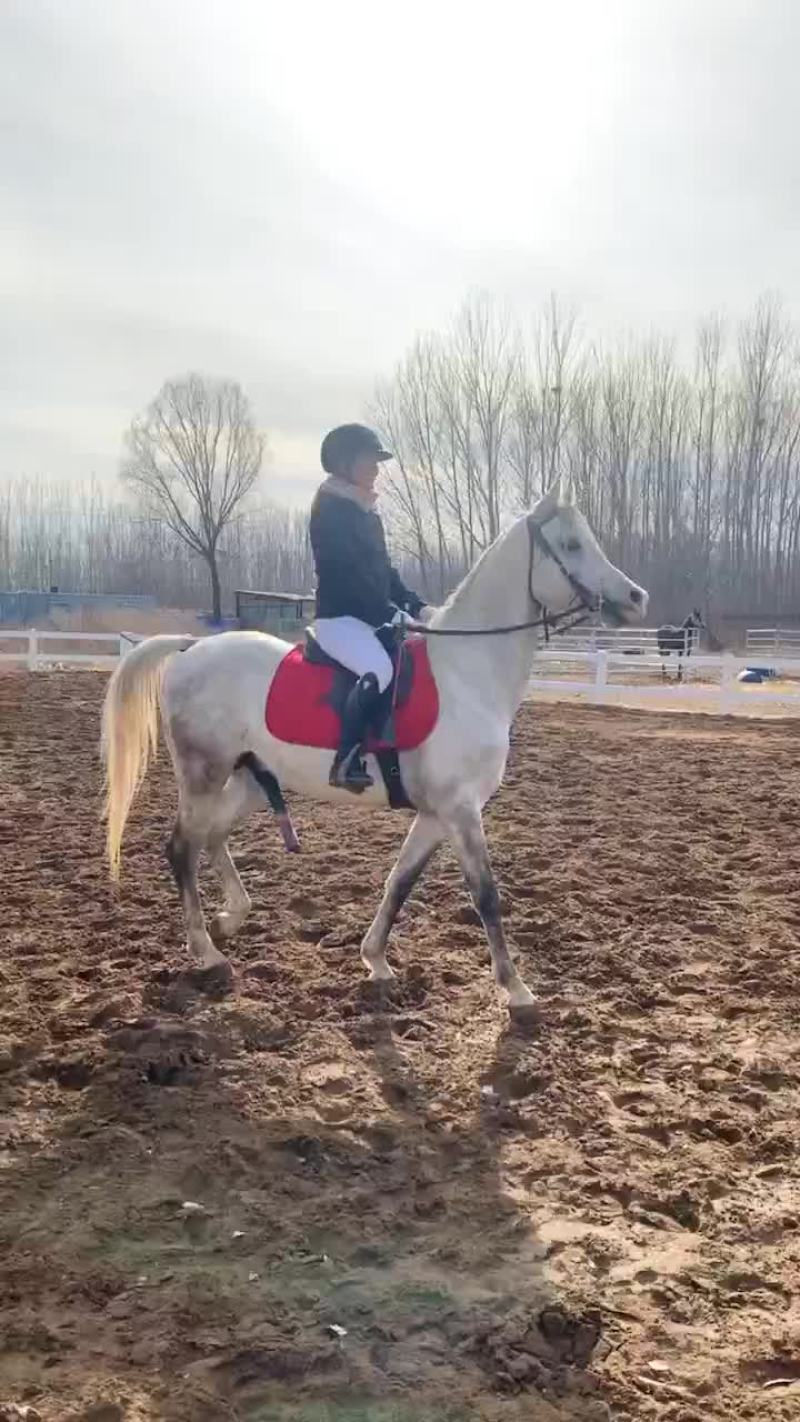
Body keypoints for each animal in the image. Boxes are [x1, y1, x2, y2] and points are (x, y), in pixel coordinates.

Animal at [101, 487, 648, 1024]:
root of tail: (192, 647)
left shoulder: (435, 814)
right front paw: (515, 990)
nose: (636, 598)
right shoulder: (461, 810)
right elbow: (486, 895)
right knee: (183, 849)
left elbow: (399, 882)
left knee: (212, 838)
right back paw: (208, 951)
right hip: (204, 774)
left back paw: (230, 916)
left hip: (251, 780)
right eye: (572, 545)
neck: (467, 673)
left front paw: (375, 959)